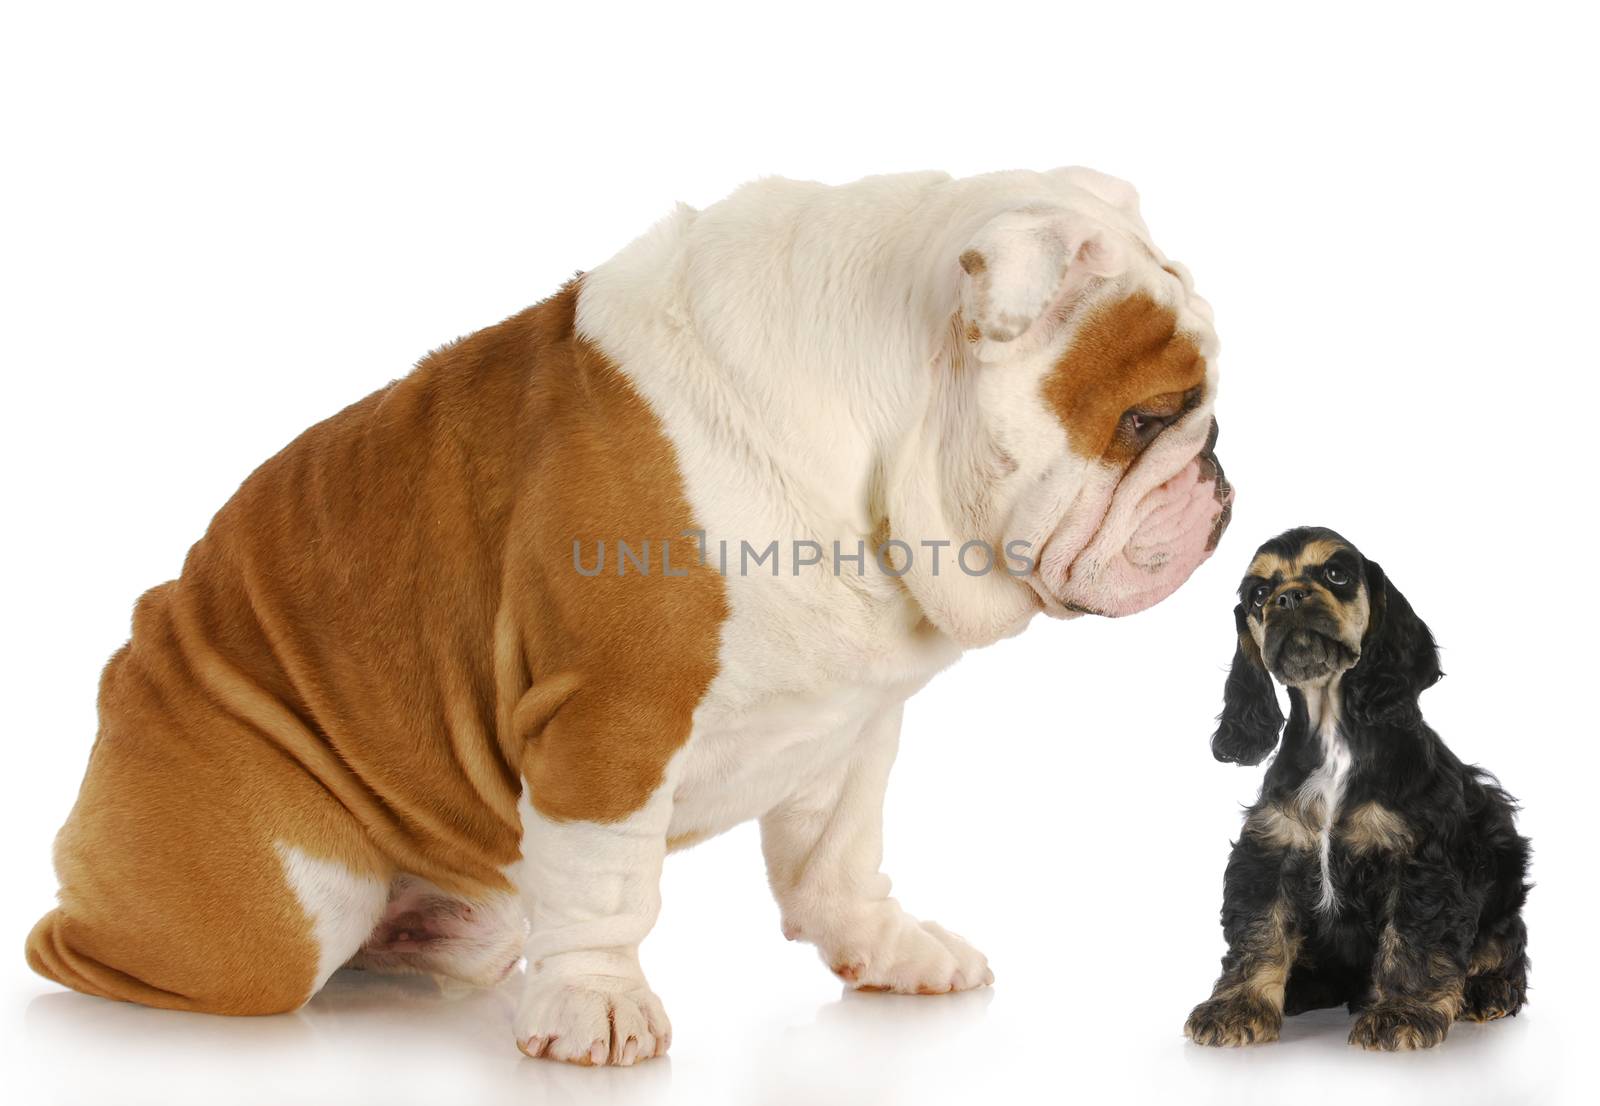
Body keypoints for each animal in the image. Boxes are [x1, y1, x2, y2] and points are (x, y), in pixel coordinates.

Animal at [1184, 531, 1529, 1049]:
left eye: (1336, 574)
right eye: (1259, 595)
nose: (1288, 597)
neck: (1334, 735)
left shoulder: (1424, 858)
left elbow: (1413, 938)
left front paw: (1401, 1013)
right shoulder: (1269, 850)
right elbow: (1260, 931)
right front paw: (1236, 1009)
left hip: (1502, 871)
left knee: (1503, 948)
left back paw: (1488, 992)